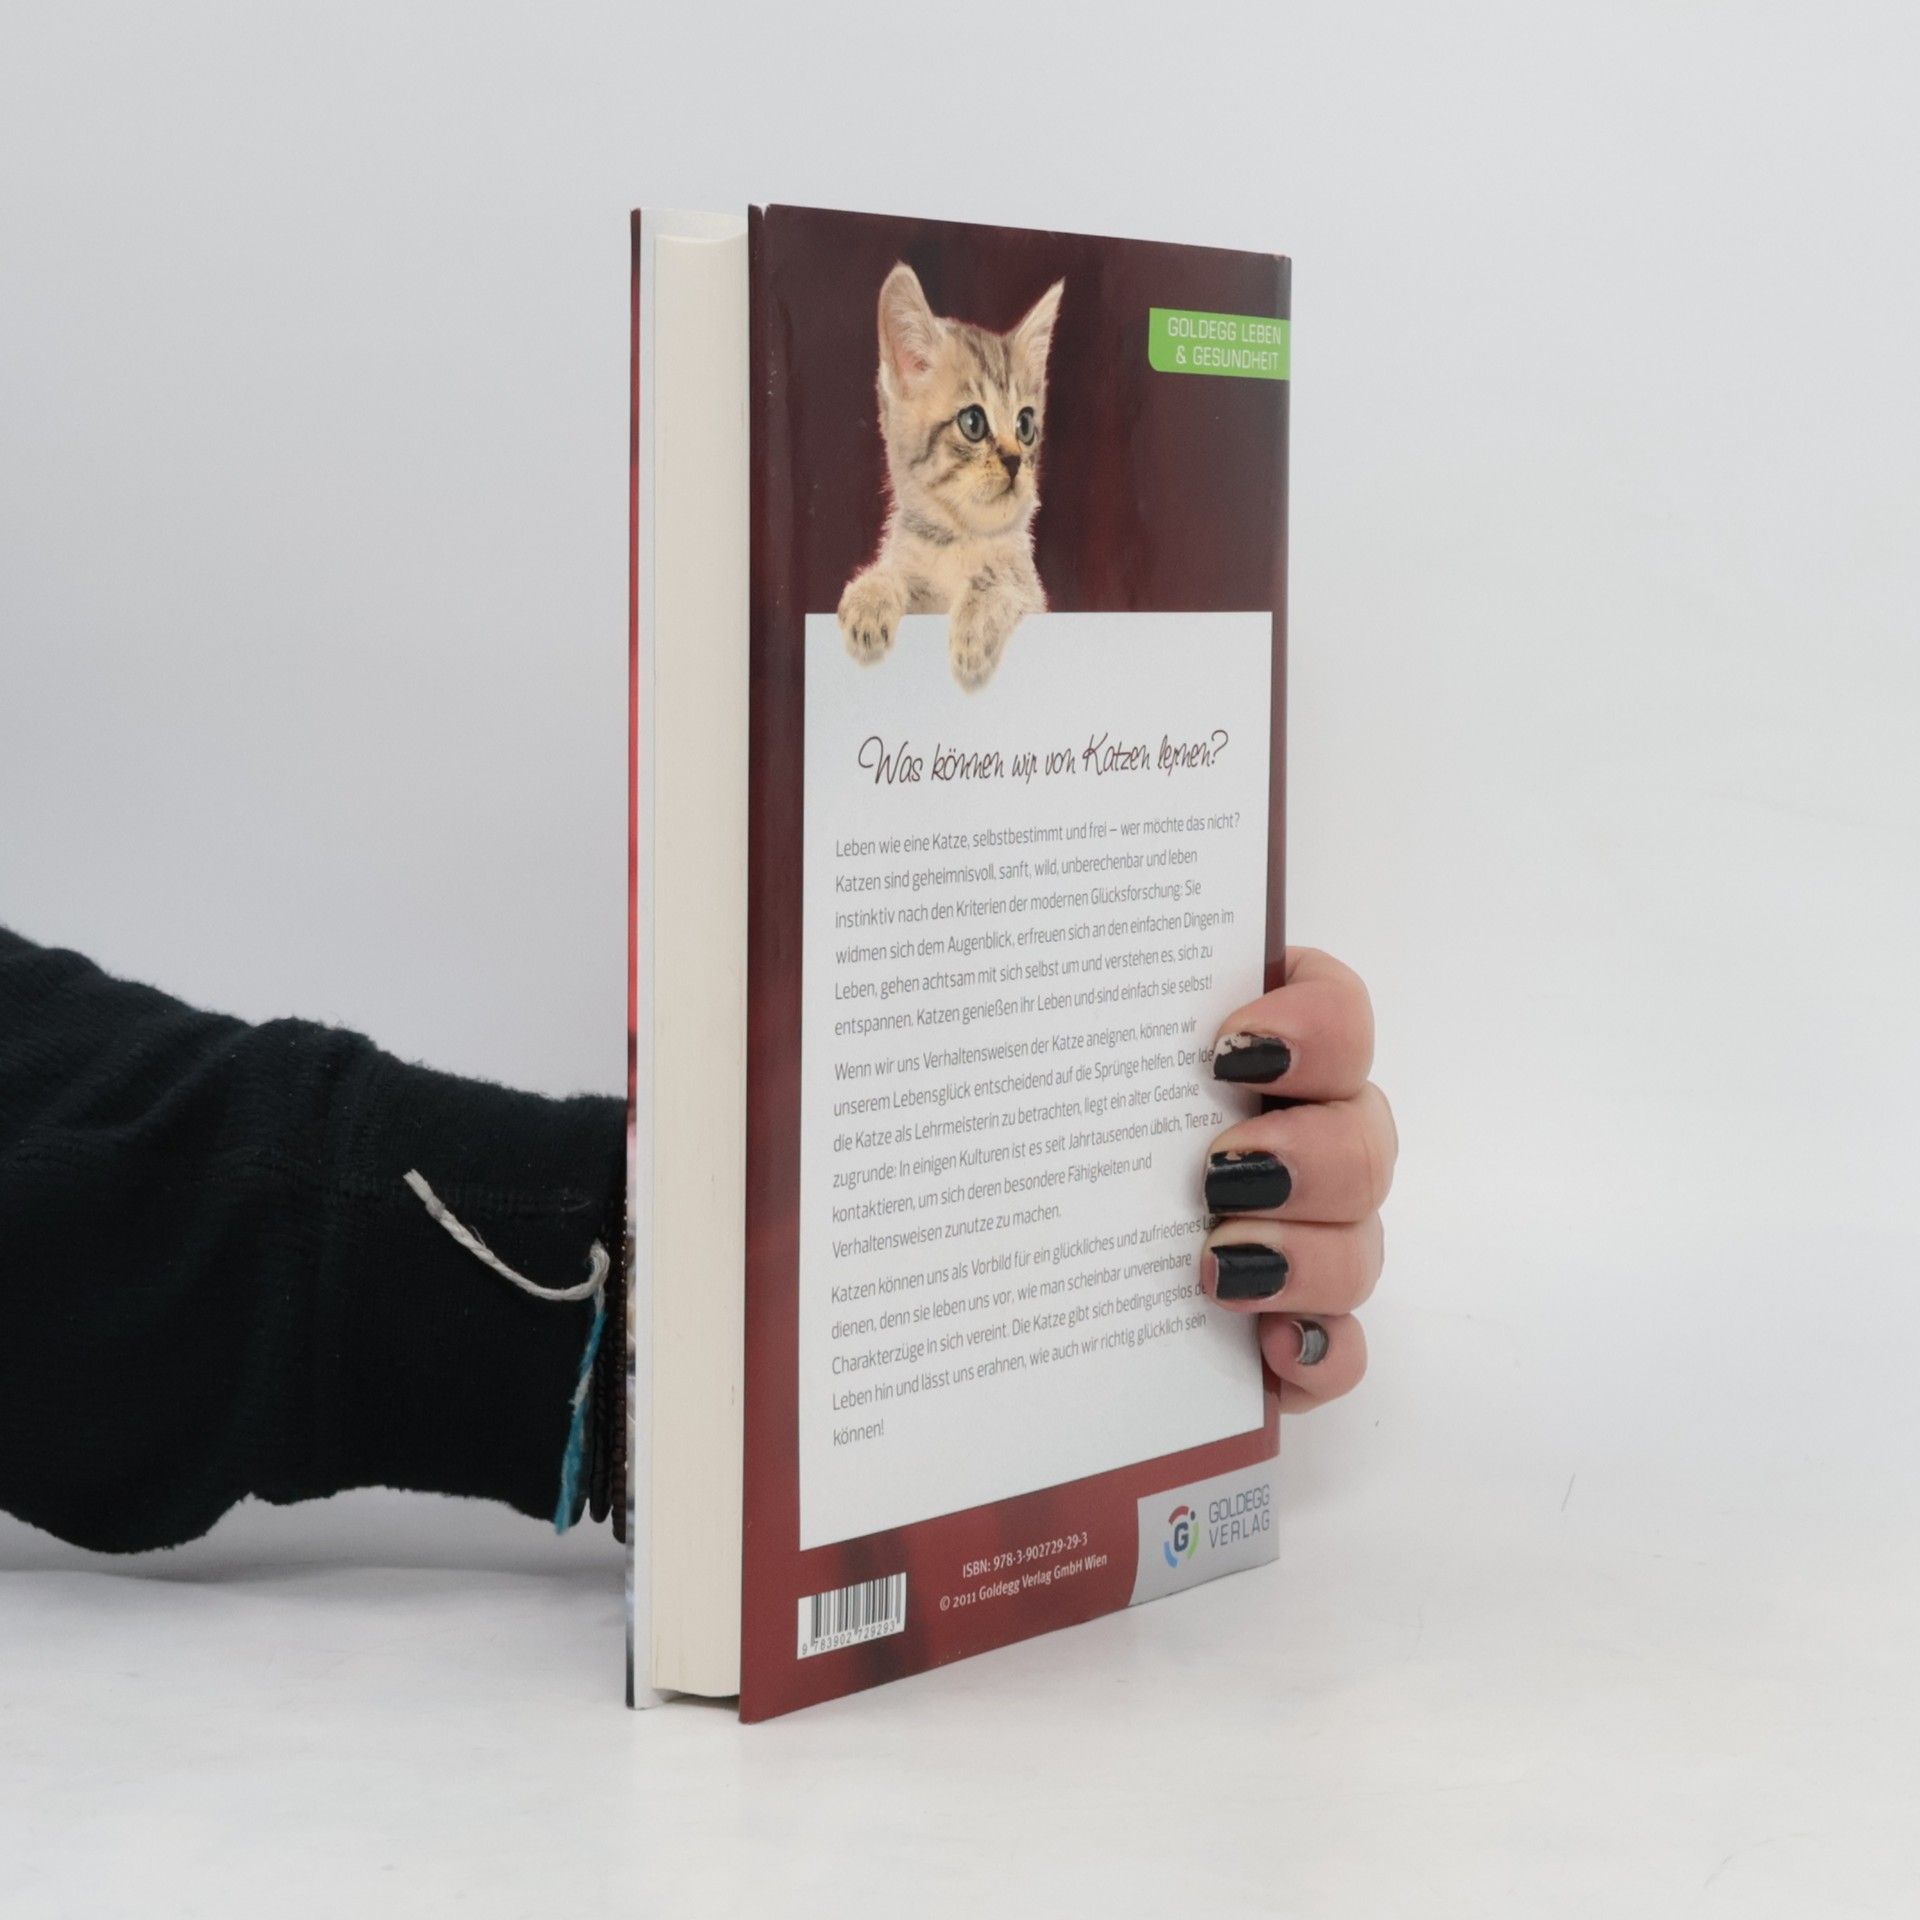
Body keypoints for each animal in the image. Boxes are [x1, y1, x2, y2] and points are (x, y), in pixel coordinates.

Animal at [838, 263, 1064, 691]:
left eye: (1025, 425)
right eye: (973, 422)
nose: (1014, 460)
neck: (959, 541)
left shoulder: (1034, 597)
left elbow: (1001, 584)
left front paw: (975, 621)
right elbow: (898, 573)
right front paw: (870, 594)